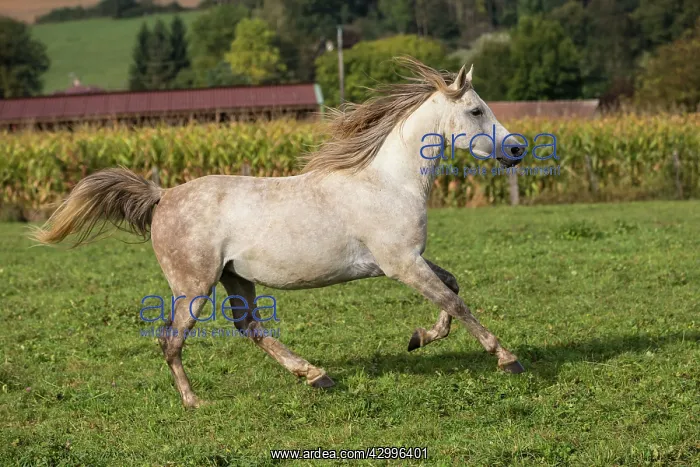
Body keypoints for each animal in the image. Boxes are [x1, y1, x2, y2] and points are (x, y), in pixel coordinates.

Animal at [32, 57, 526, 408]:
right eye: (476, 109)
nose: (518, 149)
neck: (389, 182)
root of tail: (163, 195)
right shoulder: (401, 263)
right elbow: (455, 301)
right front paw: (506, 359)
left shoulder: (408, 260)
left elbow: (452, 287)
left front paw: (419, 338)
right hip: (193, 284)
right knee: (171, 340)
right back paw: (195, 402)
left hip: (235, 277)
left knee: (248, 326)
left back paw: (316, 375)